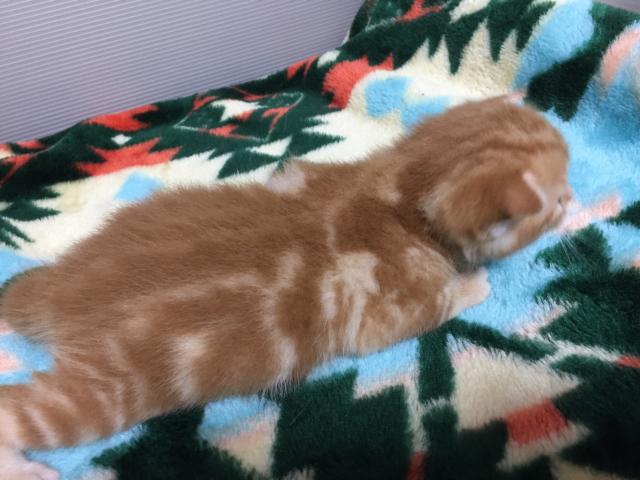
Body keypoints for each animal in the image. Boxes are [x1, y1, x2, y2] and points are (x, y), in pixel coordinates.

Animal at [0, 97, 571, 479]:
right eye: (560, 198)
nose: (572, 197)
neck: (399, 188)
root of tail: (61, 290)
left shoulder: (300, 171)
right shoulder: (383, 310)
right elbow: (436, 303)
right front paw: (474, 283)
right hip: (111, 389)